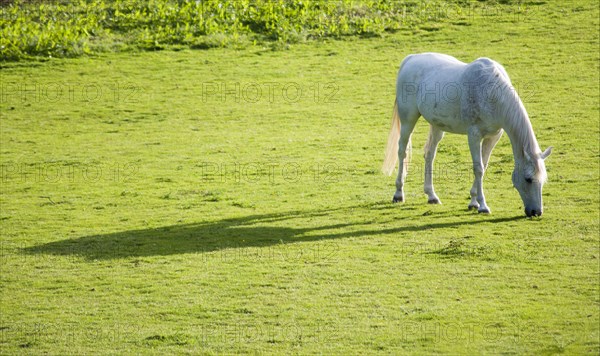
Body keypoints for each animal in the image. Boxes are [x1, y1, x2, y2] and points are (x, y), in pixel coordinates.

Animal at [384, 53, 552, 217]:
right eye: (528, 179)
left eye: (543, 179)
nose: (536, 212)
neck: (490, 93)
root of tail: (410, 59)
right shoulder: (474, 135)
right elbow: (478, 168)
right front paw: (482, 206)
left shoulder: (493, 136)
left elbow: (484, 165)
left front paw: (473, 202)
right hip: (408, 120)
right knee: (402, 152)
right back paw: (398, 194)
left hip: (437, 126)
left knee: (429, 155)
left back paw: (432, 196)